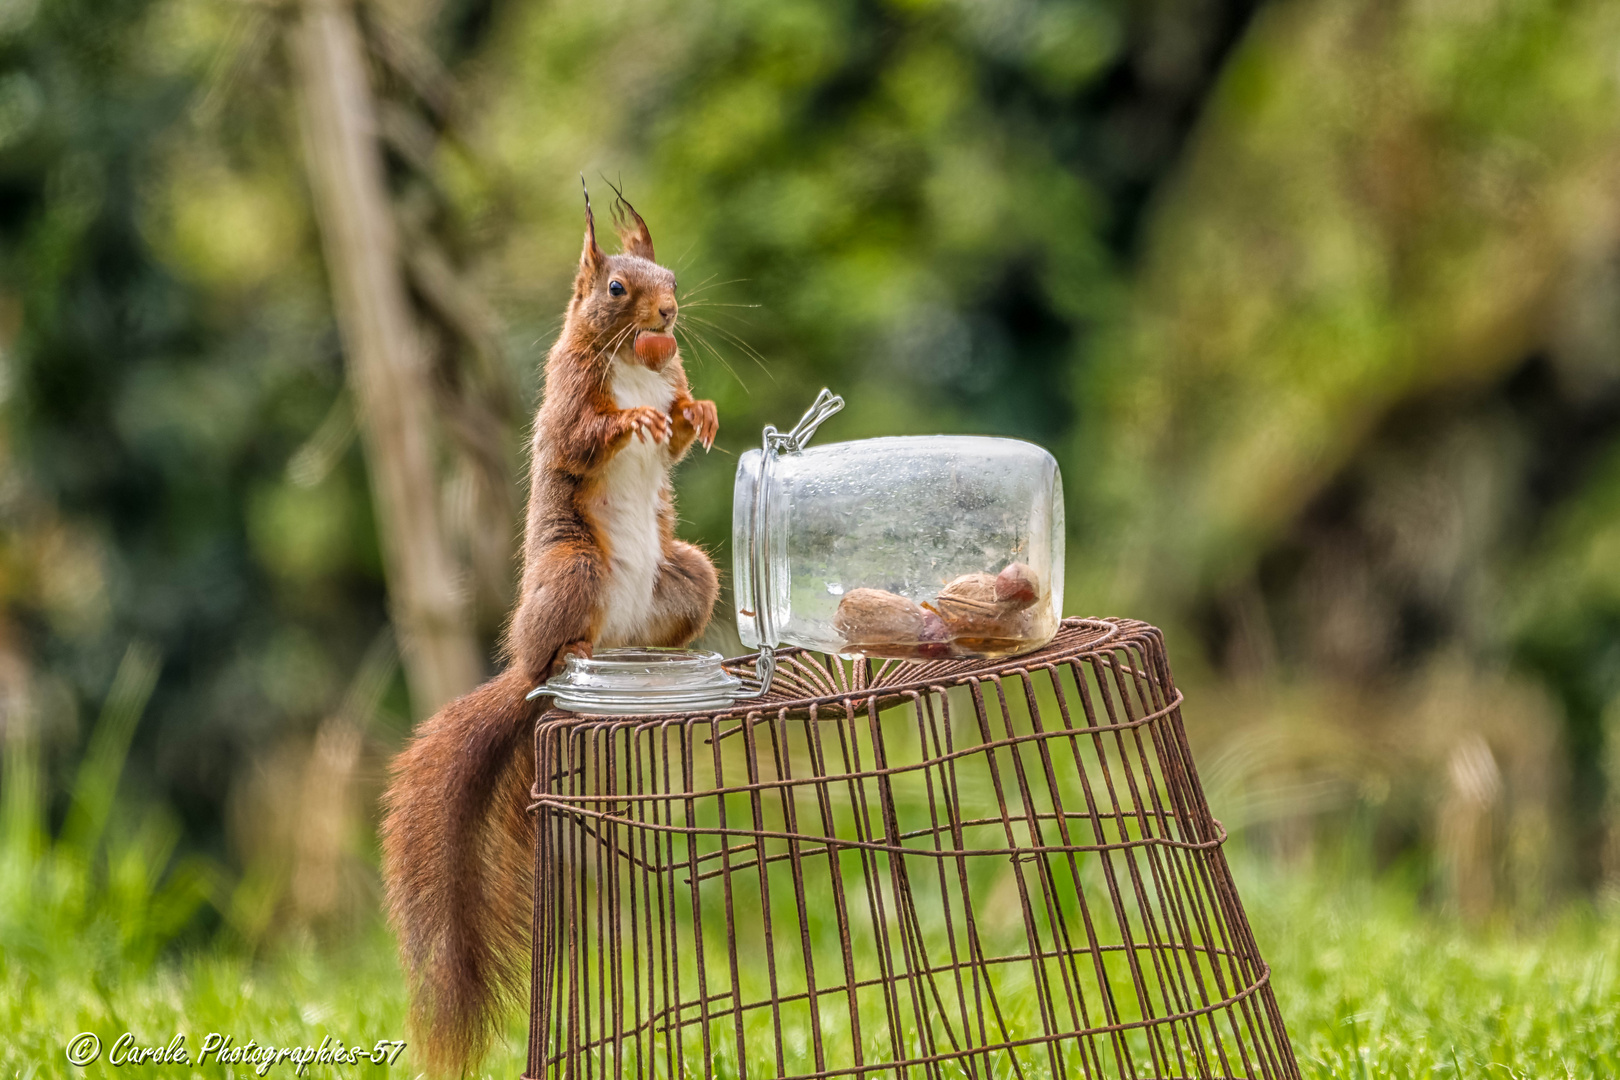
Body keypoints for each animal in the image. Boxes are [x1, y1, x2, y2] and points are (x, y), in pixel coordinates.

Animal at [382, 186, 719, 1075]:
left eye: (671, 279)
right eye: (616, 289)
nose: (669, 314)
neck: (633, 361)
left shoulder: (669, 375)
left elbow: (678, 425)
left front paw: (696, 414)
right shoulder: (568, 393)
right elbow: (583, 436)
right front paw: (631, 424)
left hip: (690, 577)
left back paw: (670, 659)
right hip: (573, 572)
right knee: (561, 640)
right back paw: (573, 652)